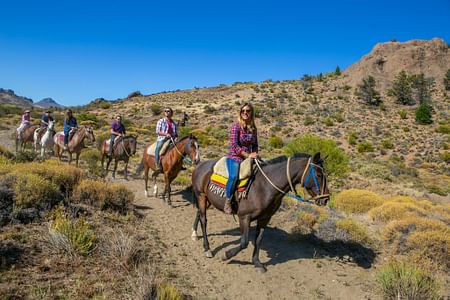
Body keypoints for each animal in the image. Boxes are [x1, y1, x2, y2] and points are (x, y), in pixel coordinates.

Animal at [191, 154, 330, 274]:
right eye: (318, 175)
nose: (326, 199)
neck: (265, 187)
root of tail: (200, 165)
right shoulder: (244, 217)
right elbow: (244, 242)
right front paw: (227, 255)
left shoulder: (264, 218)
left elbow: (258, 240)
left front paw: (257, 263)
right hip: (201, 196)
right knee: (203, 220)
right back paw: (207, 249)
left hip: (207, 199)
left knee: (198, 214)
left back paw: (194, 234)